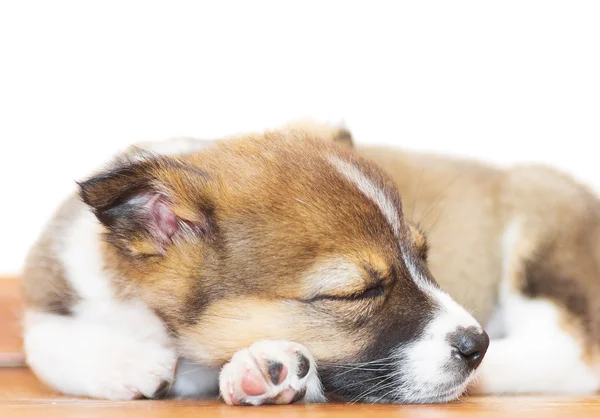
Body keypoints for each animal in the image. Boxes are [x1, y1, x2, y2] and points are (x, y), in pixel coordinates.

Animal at [21, 124, 488, 404]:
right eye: (356, 292)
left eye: (423, 257)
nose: (479, 345)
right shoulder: (50, 288)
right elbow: (45, 338)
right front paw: (125, 361)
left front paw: (265, 366)